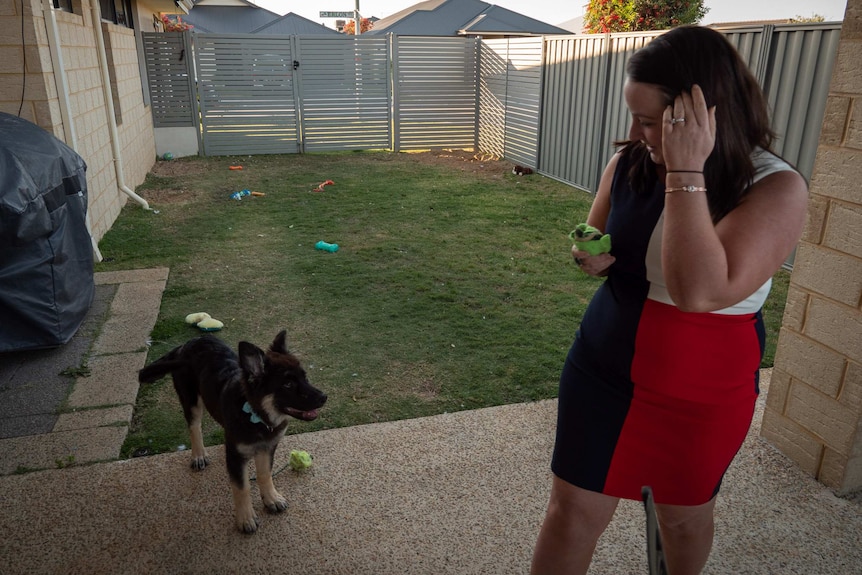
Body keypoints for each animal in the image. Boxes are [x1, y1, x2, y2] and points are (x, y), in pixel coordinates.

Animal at [138, 332, 328, 536]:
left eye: (305, 377)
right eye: (288, 384)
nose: (324, 397)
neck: (256, 415)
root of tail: (188, 343)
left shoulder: (267, 447)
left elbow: (265, 474)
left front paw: (271, 498)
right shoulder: (236, 456)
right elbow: (241, 487)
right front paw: (246, 518)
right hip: (191, 400)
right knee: (194, 426)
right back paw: (198, 455)